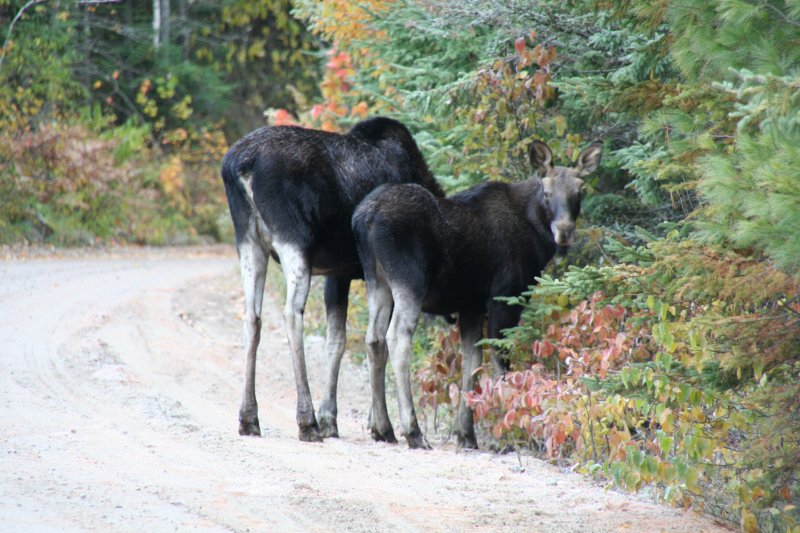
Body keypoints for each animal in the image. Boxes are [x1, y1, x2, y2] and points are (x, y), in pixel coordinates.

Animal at [220, 115, 444, 440]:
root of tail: (239, 165)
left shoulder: (338, 273)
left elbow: (336, 341)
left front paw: (331, 418)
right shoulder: (367, 274)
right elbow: (376, 341)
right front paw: (373, 421)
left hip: (248, 242)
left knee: (252, 316)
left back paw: (249, 417)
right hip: (295, 241)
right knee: (291, 314)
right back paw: (306, 419)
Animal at [350, 139, 600, 446]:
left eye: (580, 191)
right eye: (547, 192)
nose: (564, 231)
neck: (536, 236)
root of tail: (365, 218)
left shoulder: (471, 306)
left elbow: (472, 364)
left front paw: (466, 434)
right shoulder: (505, 298)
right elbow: (501, 365)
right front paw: (505, 435)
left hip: (377, 281)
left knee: (374, 339)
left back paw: (383, 429)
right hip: (409, 282)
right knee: (397, 339)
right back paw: (413, 431)